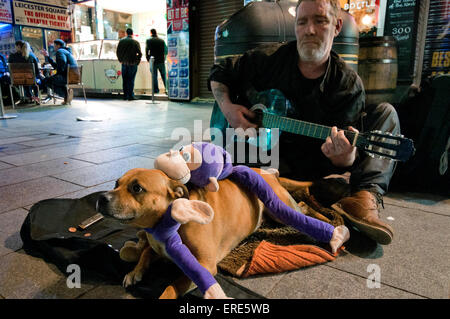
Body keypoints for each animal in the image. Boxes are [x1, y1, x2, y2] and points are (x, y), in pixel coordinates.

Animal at [98, 168, 336, 300]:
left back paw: (327, 221)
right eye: (116, 183)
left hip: (281, 209)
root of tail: (267, 172)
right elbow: (146, 252)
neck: (165, 225)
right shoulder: (157, 247)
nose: (101, 197)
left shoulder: (204, 265)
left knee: (303, 207)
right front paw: (135, 272)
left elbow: (173, 285)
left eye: (137, 188)